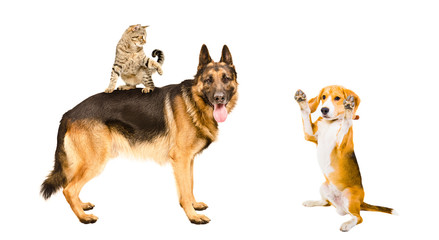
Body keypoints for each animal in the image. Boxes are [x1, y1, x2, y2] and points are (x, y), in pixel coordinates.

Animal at [41, 44, 239, 224]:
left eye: (226, 78)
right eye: (208, 80)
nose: (219, 98)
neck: (194, 102)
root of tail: (69, 113)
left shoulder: (188, 160)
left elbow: (189, 186)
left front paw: (194, 205)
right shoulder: (181, 159)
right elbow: (184, 191)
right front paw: (193, 216)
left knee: (70, 185)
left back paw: (82, 206)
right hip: (94, 161)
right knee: (69, 189)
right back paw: (83, 217)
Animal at [296, 85, 396, 232]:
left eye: (337, 98)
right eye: (323, 97)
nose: (323, 110)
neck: (331, 123)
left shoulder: (340, 146)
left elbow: (346, 123)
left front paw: (349, 109)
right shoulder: (310, 135)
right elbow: (306, 113)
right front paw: (302, 101)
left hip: (349, 195)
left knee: (358, 218)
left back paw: (347, 224)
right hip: (324, 186)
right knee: (326, 203)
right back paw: (311, 202)